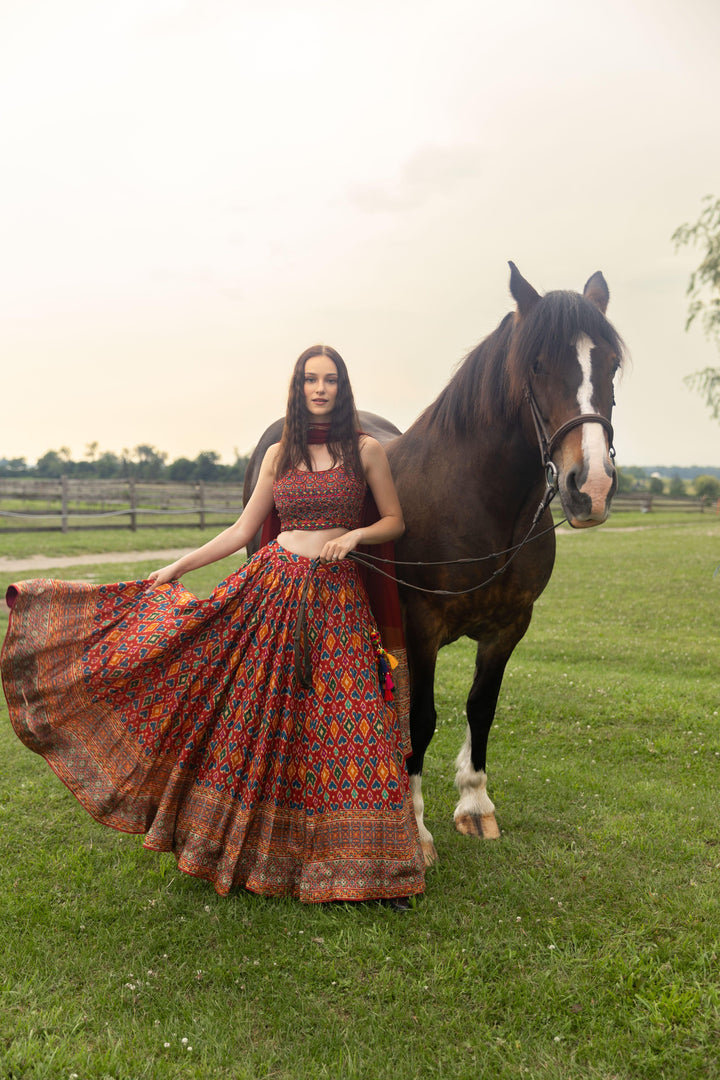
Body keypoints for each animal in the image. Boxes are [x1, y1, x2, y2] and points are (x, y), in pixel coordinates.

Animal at [243, 265, 626, 864]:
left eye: (610, 364)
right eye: (537, 364)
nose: (591, 487)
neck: (483, 504)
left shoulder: (509, 625)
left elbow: (480, 707)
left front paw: (475, 805)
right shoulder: (421, 624)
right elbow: (422, 718)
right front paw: (416, 830)